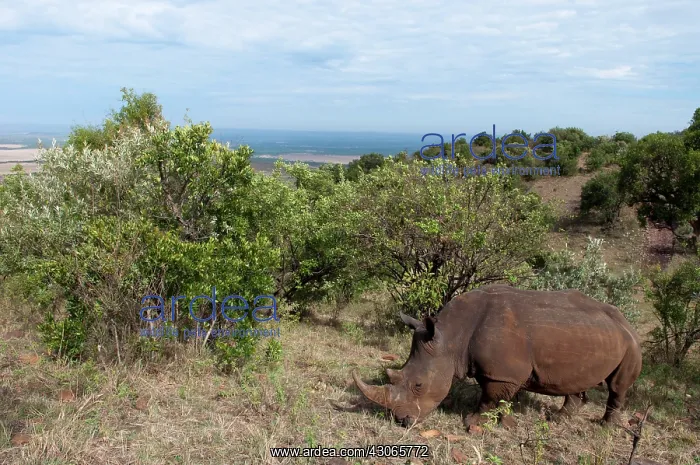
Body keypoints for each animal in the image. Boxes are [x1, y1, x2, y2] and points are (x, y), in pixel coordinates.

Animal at [353, 285, 642, 428]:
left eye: (418, 385)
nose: (402, 421)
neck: (451, 336)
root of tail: (625, 320)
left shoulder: (503, 372)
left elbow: (489, 398)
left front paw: (471, 423)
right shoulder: (498, 372)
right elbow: (498, 399)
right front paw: (506, 423)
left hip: (631, 343)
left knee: (617, 386)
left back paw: (605, 427)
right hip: (593, 336)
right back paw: (558, 420)